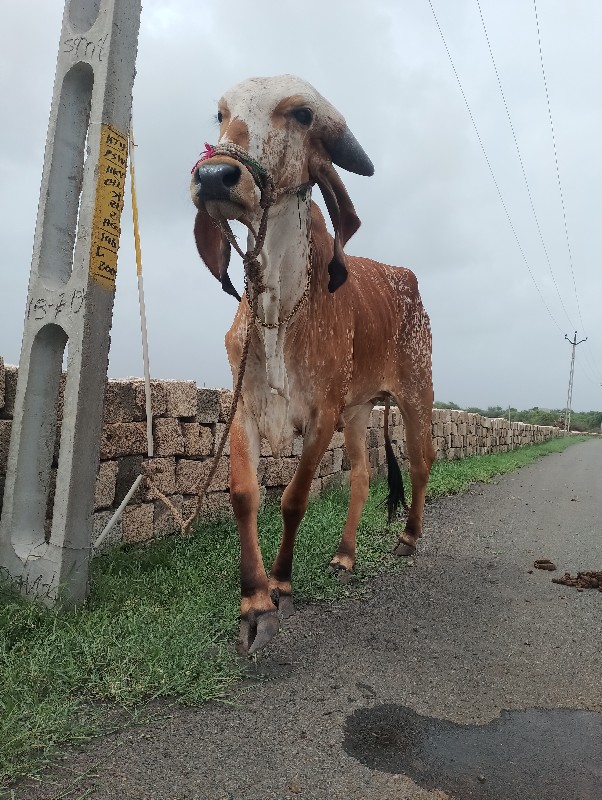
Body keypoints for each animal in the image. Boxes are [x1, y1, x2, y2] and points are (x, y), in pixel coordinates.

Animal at [190, 75, 434, 652]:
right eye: (221, 114)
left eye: (301, 114)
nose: (214, 176)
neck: (279, 309)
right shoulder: (247, 407)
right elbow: (244, 494)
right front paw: (254, 601)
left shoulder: (321, 414)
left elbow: (295, 497)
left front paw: (281, 583)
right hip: (360, 409)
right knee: (364, 475)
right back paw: (345, 556)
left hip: (417, 393)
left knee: (420, 462)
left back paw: (409, 537)